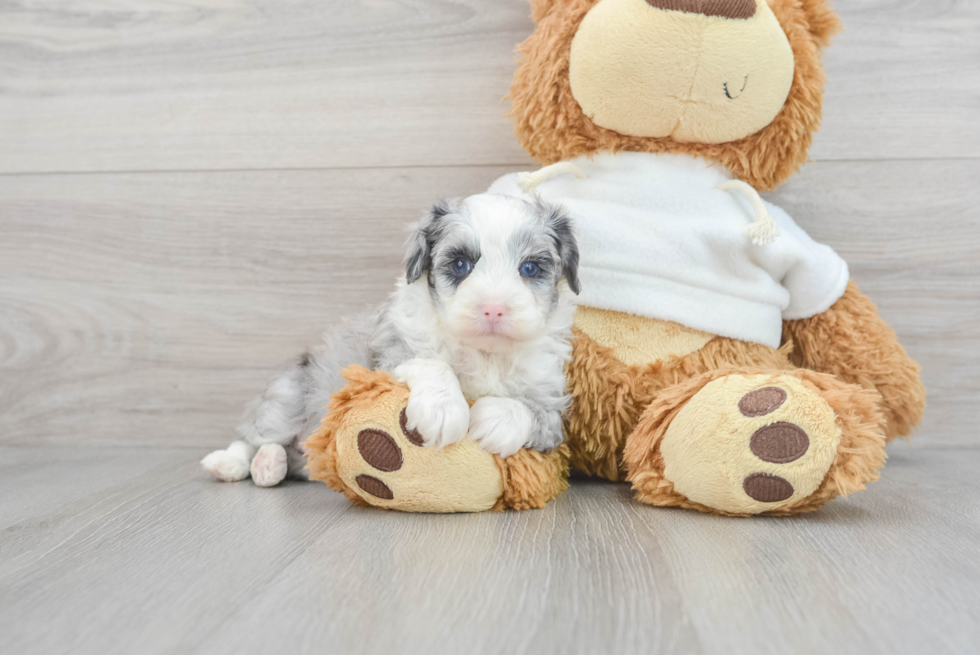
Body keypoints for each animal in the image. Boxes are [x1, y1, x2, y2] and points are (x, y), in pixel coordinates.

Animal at [202, 193, 580, 486]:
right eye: (461, 264)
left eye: (530, 268)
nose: (493, 309)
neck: (485, 353)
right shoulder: (387, 359)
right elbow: (430, 363)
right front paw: (443, 409)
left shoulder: (551, 401)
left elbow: (536, 412)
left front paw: (496, 419)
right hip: (287, 398)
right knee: (253, 435)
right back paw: (233, 464)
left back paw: (270, 466)